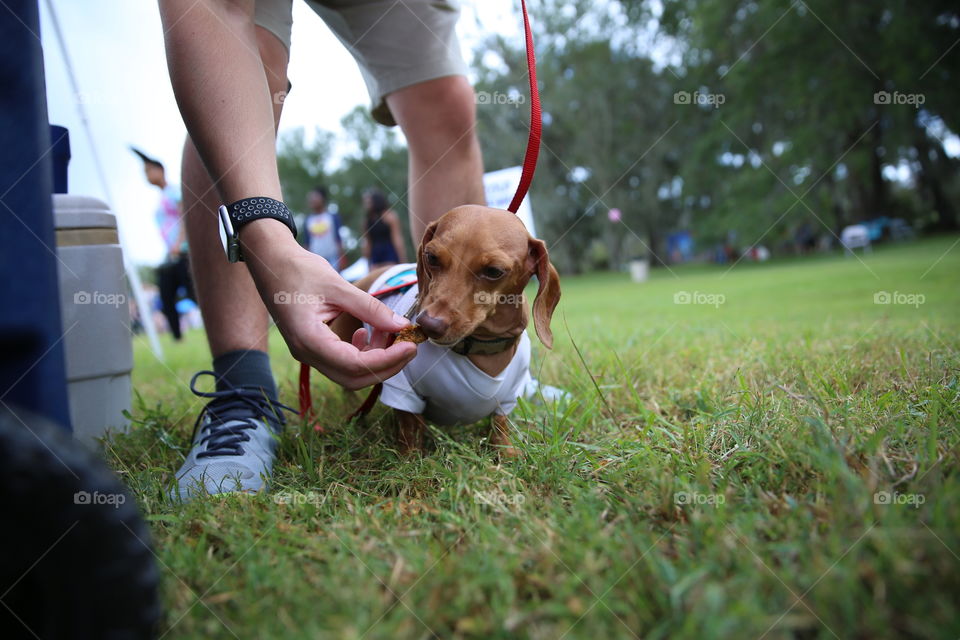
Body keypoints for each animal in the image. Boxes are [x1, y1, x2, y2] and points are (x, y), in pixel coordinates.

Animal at [334, 205, 564, 456]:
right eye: (431, 257)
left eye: (494, 271)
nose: (428, 324)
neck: (480, 348)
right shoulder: (403, 391)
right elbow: (409, 429)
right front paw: (410, 458)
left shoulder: (508, 399)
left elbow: (500, 424)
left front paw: (506, 452)